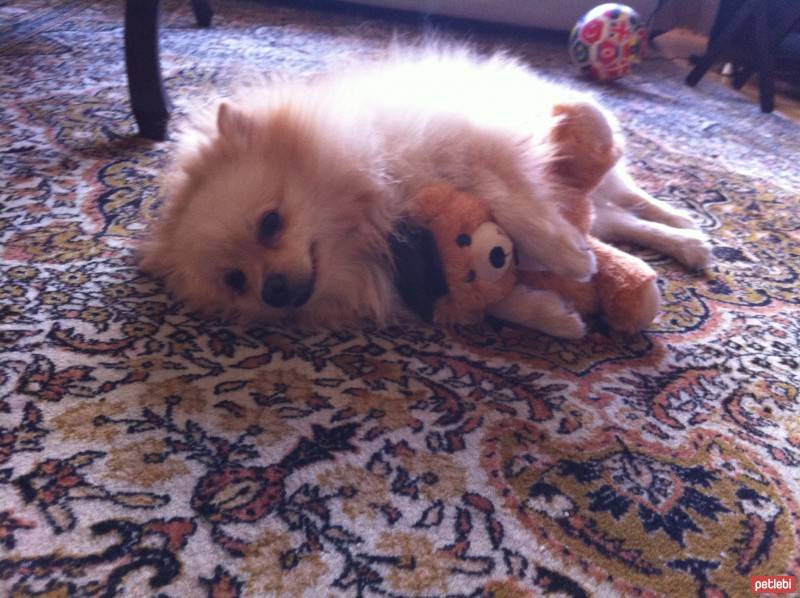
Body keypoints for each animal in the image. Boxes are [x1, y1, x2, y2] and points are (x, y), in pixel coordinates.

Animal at [141, 45, 708, 340]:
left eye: (270, 223)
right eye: (236, 280)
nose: (274, 291)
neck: (367, 220)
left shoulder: (475, 147)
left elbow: (513, 203)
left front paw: (568, 257)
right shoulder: (417, 278)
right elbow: (498, 298)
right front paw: (555, 317)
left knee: (628, 194)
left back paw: (684, 223)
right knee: (621, 219)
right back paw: (686, 241)